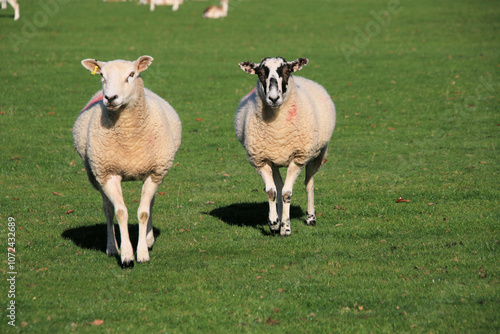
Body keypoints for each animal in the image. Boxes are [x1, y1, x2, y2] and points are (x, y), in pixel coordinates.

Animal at [73, 55, 183, 268]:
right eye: (102, 75)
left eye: (132, 74)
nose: (110, 98)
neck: (129, 137)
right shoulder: (108, 173)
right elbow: (121, 212)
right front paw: (126, 256)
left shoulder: (154, 173)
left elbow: (143, 212)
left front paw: (142, 253)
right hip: (95, 173)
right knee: (108, 209)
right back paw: (111, 247)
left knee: (150, 204)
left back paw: (148, 239)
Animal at [234, 56, 336, 235]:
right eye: (260, 73)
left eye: (287, 72)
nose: (273, 98)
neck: (277, 129)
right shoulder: (262, 160)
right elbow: (272, 192)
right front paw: (274, 223)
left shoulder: (298, 159)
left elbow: (287, 194)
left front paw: (286, 228)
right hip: (275, 161)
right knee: (279, 187)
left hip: (316, 155)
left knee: (309, 183)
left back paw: (310, 218)